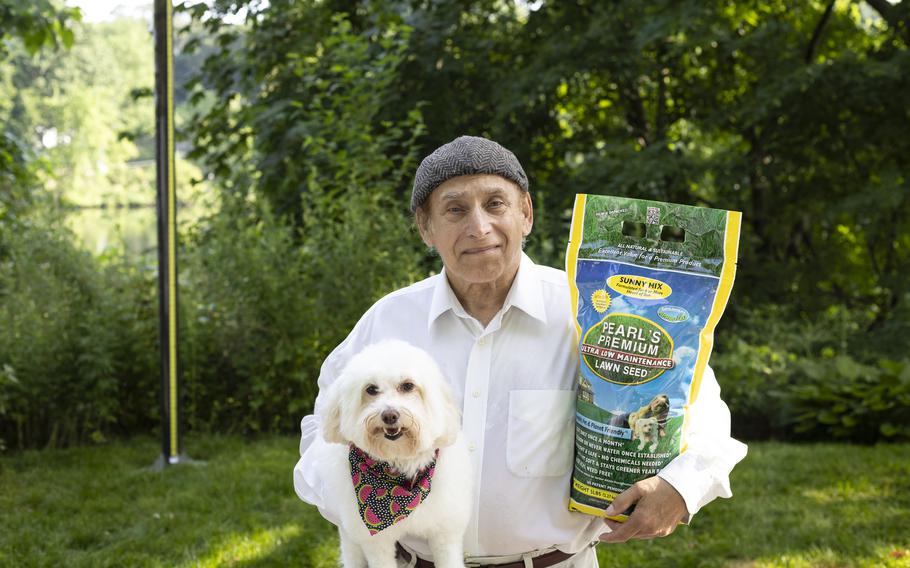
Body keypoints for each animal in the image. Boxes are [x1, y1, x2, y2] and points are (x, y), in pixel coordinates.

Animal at [316, 340, 470, 568]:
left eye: (407, 386)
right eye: (371, 389)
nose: (389, 415)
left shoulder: (445, 531)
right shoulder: (375, 541)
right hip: (350, 541)